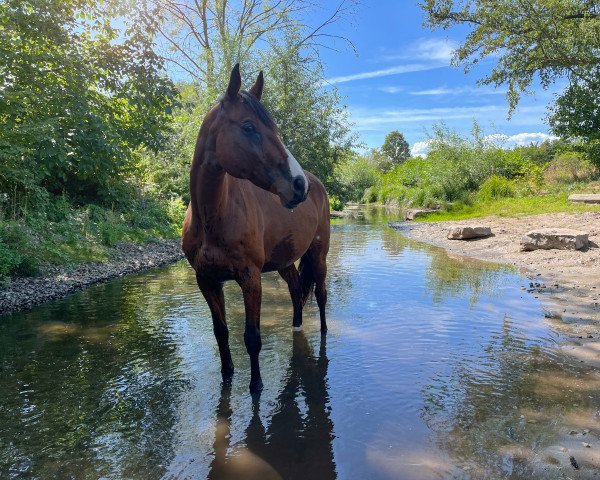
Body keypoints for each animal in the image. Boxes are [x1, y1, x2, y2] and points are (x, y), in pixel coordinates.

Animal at [183, 64, 332, 394]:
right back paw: (296, 326)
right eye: (249, 127)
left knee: (321, 295)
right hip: (285, 261)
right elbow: (221, 332)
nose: (299, 185)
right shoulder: (207, 280)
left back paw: (325, 333)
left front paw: (256, 386)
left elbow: (252, 338)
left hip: (319, 255)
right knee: (295, 290)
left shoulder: (250, 278)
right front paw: (227, 374)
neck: (212, 218)